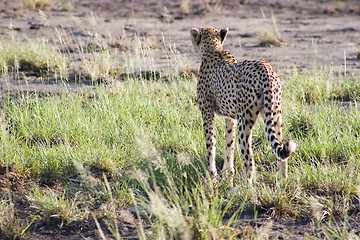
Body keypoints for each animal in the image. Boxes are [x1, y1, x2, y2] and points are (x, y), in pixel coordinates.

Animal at [190, 26, 296, 186]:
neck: (213, 49)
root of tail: (266, 69)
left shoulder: (207, 113)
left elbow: (211, 145)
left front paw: (213, 178)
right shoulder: (230, 118)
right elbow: (229, 145)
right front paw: (227, 176)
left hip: (245, 120)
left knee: (249, 159)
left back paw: (245, 188)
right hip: (275, 115)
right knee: (281, 152)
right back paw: (281, 184)